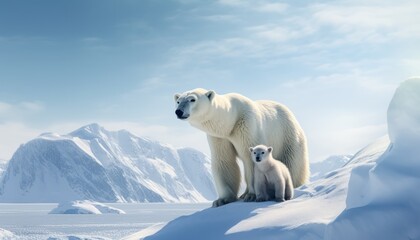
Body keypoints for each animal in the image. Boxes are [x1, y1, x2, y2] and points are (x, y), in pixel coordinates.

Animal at [174, 88, 308, 206]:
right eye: (178, 101)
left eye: (192, 99)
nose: (178, 112)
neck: (231, 121)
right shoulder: (219, 137)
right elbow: (224, 161)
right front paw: (221, 200)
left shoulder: (246, 126)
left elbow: (250, 158)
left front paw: (250, 195)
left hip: (287, 137)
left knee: (292, 164)